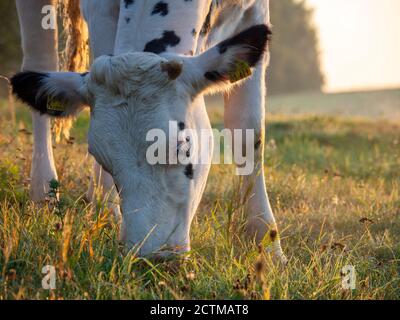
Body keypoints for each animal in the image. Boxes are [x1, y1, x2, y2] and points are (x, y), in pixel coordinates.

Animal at [11, 0, 288, 262]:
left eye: (182, 147)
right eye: (106, 161)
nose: (153, 256)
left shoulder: (255, 10)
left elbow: (248, 130)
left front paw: (266, 244)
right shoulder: (100, 11)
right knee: (40, 56)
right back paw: (49, 193)